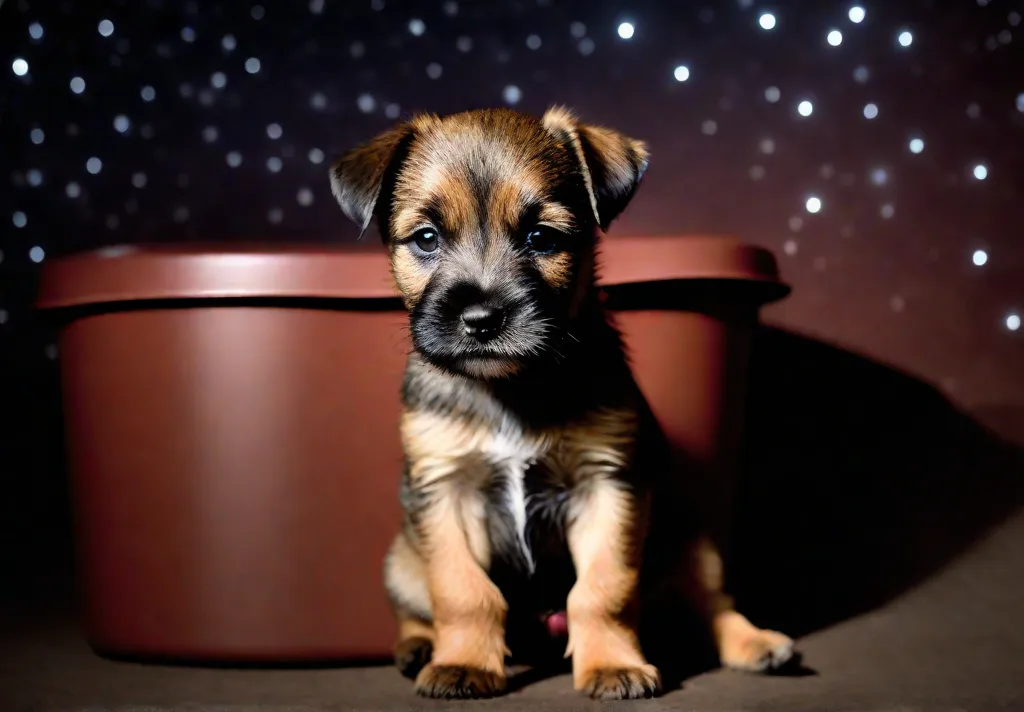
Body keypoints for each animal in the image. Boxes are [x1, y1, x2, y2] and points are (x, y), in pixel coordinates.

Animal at [327, 107, 790, 700]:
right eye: (426, 238)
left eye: (541, 238)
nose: (481, 319)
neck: (514, 387)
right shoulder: (445, 490)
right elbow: (462, 590)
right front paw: (464, 663)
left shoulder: (605, 486)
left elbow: (602, 590)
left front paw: (612, 664)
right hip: (402, 561)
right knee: (417, 610)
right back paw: (419, 648)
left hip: (692, 544)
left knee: (711, 606)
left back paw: (756, 643)